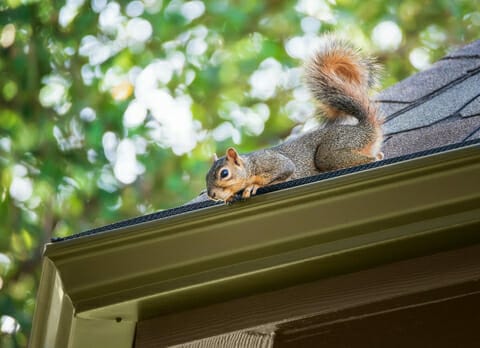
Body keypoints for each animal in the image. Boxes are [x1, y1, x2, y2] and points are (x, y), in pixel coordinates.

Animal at [204, 34, 384, 204]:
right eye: (206, 176)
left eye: (224, 173)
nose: (212, 195)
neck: (250, 165)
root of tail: (365, 129)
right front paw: (229, 197)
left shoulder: (273, 163)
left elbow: (283, 172)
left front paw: (253, 185)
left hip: (334, 149)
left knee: (370, 158)